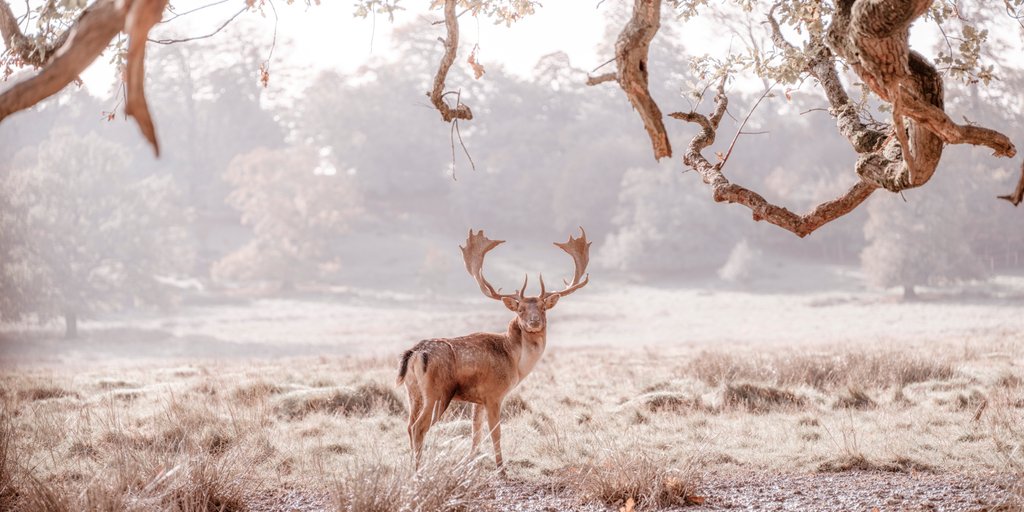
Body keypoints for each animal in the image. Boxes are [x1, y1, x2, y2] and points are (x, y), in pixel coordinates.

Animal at [396, 227, 591, 470]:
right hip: (438, 392)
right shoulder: (494, 393)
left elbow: (476, 432)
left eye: (543, 307)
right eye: (520, 309)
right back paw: (418, 470)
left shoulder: (477, 399)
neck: (515, 362)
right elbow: (495, 433)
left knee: (408, 425)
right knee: (418, 427)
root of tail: (414, 354)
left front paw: (469, 463)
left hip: (412, 391)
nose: (534, 321)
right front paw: (501, 469)